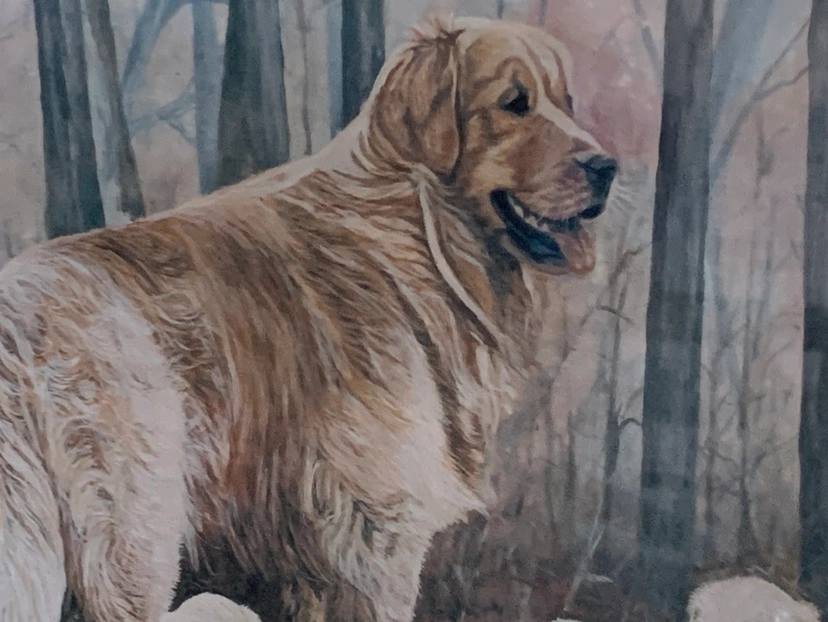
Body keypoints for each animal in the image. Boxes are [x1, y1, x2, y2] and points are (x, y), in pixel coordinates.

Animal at [0, 15, 615, 622]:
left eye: (567, 102)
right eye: (515, 103)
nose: (607, 167)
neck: (413, 232)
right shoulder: (375, 534)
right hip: (134, 547)